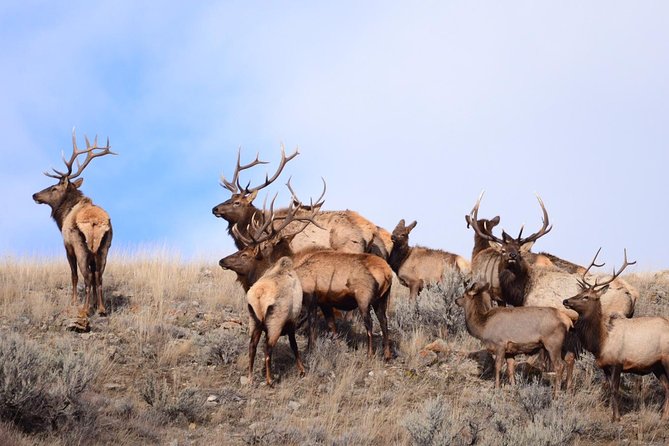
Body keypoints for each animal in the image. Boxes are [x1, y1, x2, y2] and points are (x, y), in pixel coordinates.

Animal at [33, 130, 116, 318]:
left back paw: (84, 310)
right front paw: (94, 304)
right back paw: (101, 309)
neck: (63, 216)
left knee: (87, 276)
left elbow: (73, 275)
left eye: (54, 188)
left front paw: (74, 302)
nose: (35, 195)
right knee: (99, 275)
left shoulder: (67, 245)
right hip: (104, 247)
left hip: (81, 246)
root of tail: (94, 222)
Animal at [247, 256, 304, 386]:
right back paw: (270, 380)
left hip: (255, 323)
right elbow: (294, 346)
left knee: (252, 347)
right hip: (275, 325)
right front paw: (302, 370)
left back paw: (250, 379)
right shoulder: (291, 323)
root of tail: (259, 294)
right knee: (268, 350)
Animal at [564, 251, 668, 422]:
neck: (600, 342)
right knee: (667, 386)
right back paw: (664, 416)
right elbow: (608, 388)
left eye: (586, 297)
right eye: (579, 293)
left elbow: (615, 389)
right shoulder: (605, 365)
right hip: (656, 365)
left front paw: (616, 418)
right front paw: (613, 415)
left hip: (666, 360)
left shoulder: (618, 362)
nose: (565, 300)